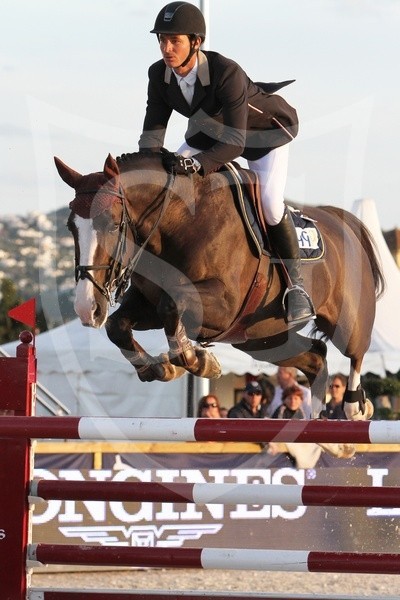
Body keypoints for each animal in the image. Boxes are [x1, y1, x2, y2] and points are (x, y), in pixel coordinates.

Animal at [54, 150, 386, 424]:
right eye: (71, 227)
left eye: (112, 224)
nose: (86, 308)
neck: (178, 222)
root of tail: (343, 223)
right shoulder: (146, 305)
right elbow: (118, 325)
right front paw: (161, 368)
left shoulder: (224, 304)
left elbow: (172, 304)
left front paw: (198, 362)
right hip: (262, 340)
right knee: (316, 355)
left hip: (345, 323)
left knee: (355, 351)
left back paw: (356, 407)